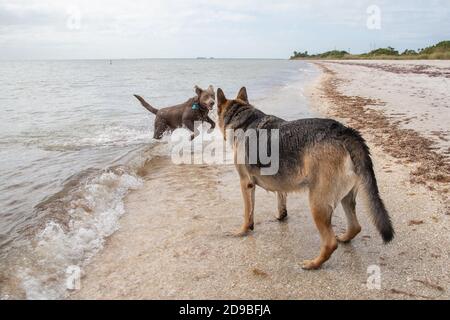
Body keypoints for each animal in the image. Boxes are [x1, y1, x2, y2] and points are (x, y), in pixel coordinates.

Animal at [218, 87, 394, 270]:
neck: (245, 119)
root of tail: (343, 131)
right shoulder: (280, 183)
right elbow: (280, 200)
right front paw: (281, 216)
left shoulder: (246, 183)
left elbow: (247, 212)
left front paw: (242, 231)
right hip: (345, 197)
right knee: (355, 227)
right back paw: (344, 238)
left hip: (318, 204)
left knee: (330, 243)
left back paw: (313, 264)